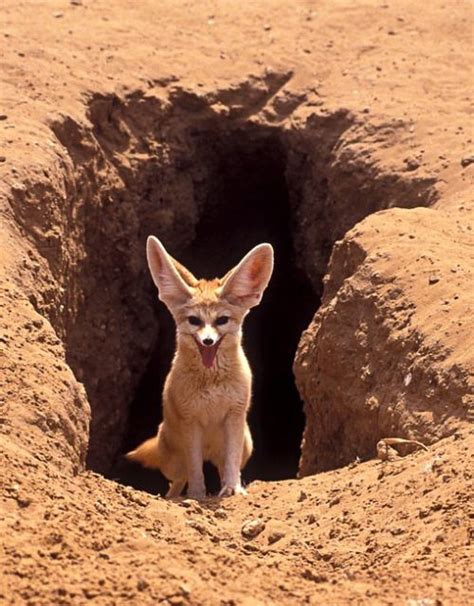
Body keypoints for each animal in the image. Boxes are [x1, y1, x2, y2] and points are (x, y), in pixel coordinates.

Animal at [126, 235, 274, 502]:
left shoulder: (234, 416)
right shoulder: (191, 421)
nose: (207, 341)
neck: (212, 383)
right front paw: (196, 495)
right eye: (194, 321)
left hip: (245, 444)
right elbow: (196, 469)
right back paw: (173, 496)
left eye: (221, 320)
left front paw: (233, 488)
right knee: (178, 479)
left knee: (223, 466)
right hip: (174, 463)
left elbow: (231, 464)